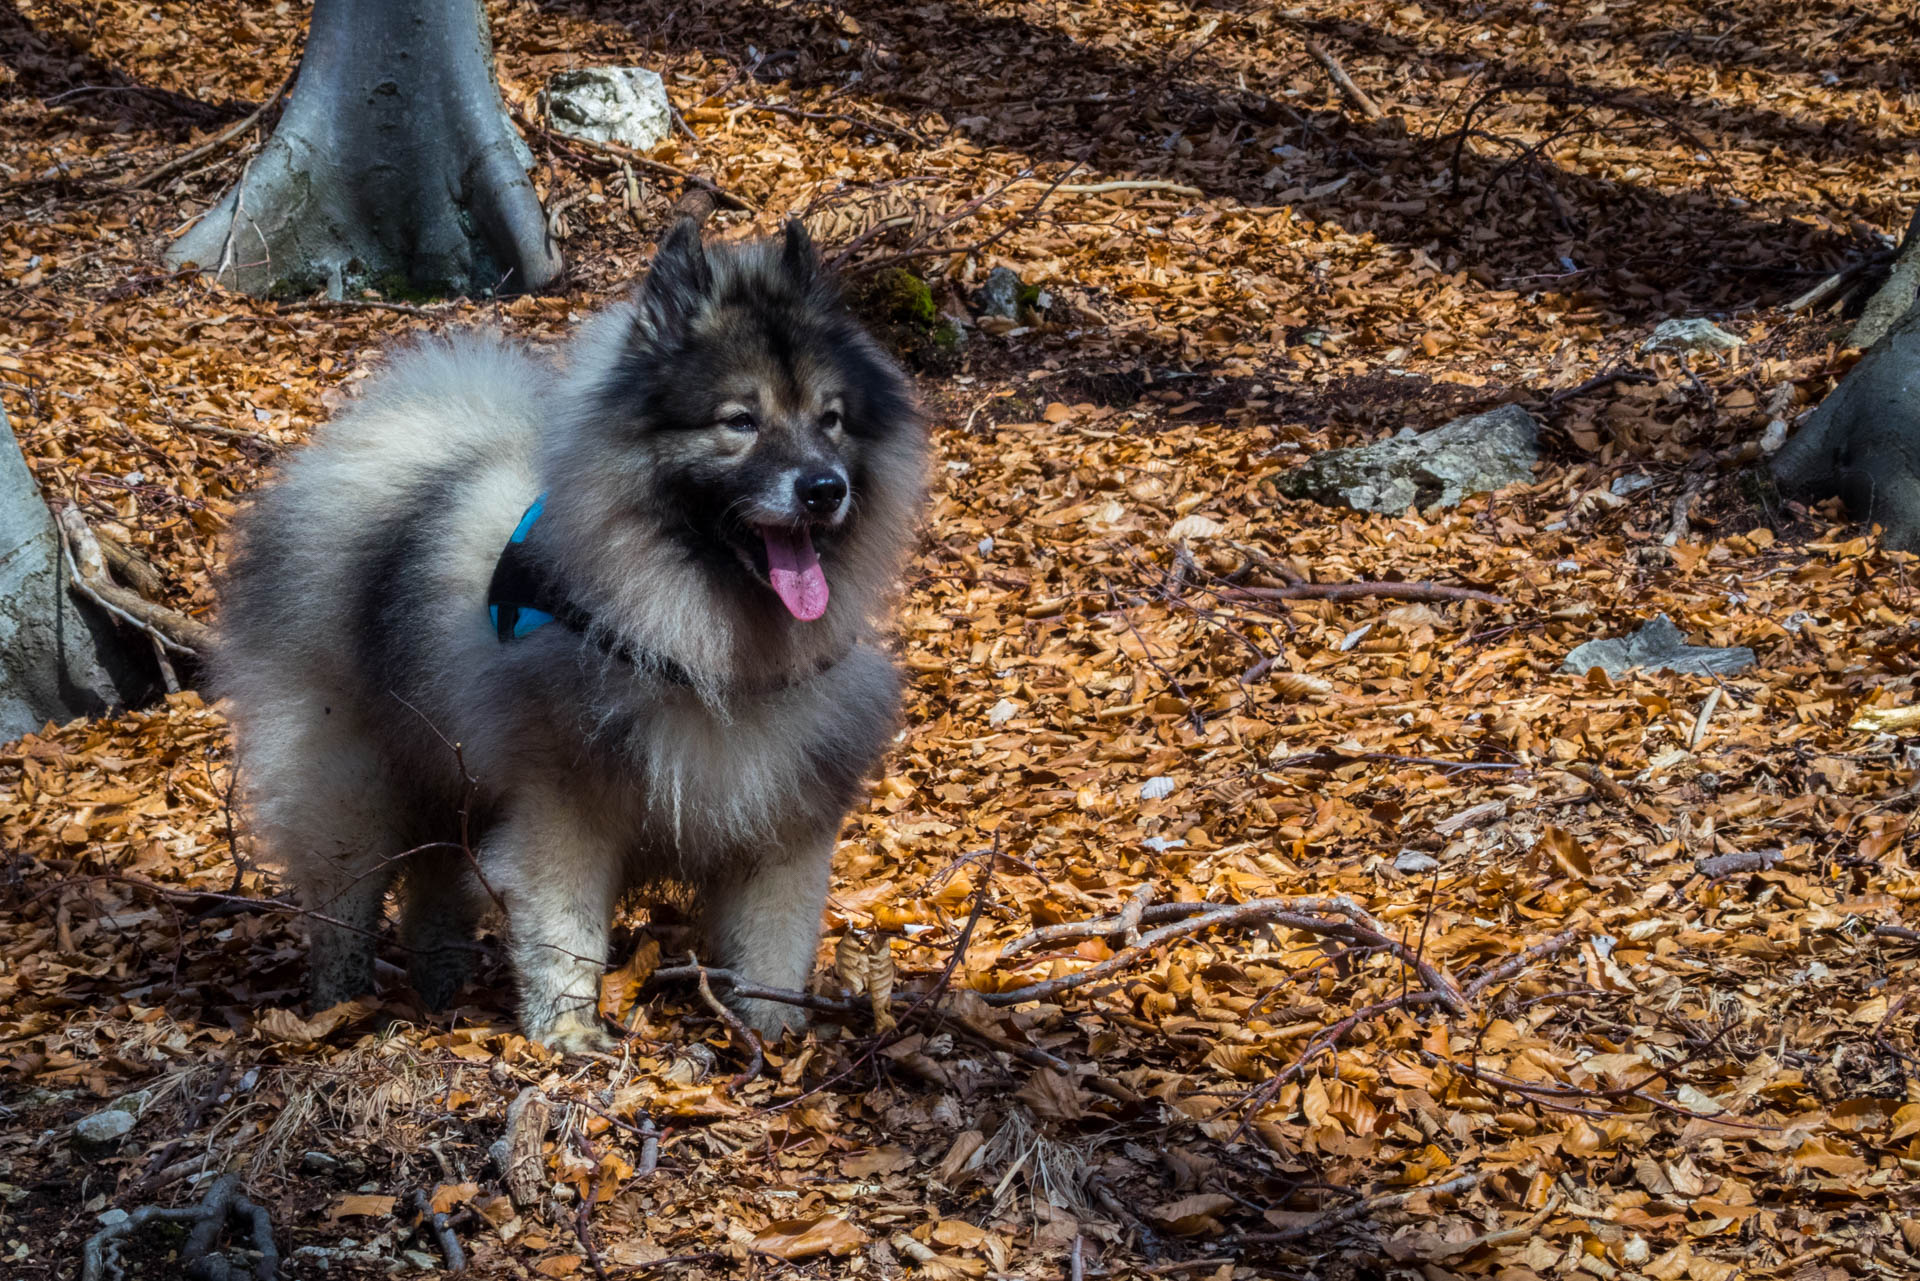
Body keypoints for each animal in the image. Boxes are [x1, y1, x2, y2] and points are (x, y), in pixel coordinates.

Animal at [217, 220, 921, 1052]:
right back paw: (339, 1007)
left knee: (433, 903)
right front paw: (568, 1034)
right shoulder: (564, 809)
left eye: (830, 419)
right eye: (739, 421)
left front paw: (773, 1039)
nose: (822, 488)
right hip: (352, 788)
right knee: (342, 905)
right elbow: (567, 929)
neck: (705, 646)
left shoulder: (782, 824)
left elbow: (772, 948)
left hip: (449, 785)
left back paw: (443, 996)